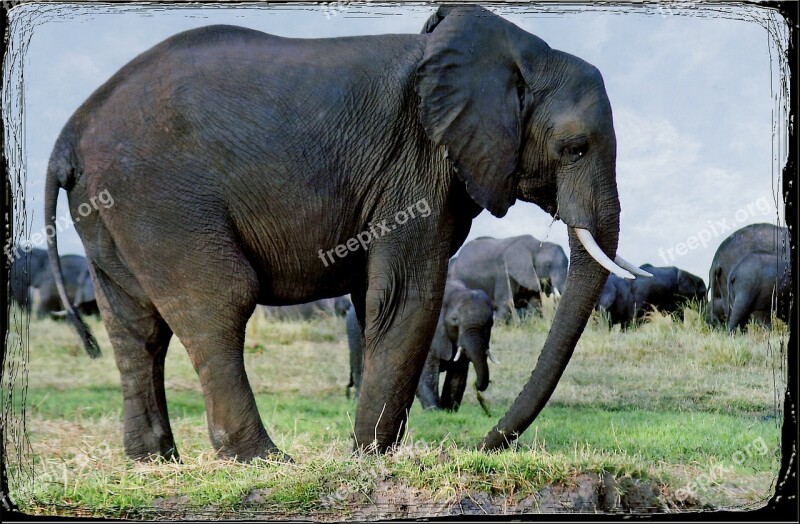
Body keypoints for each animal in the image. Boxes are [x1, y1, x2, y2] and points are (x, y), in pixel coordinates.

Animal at [344, 280, 494, 412]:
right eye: (454, 320)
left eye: (490, 322)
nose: (477, 386)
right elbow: (426, 374)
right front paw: (435, 411)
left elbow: (457, 375)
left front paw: (449, 411)